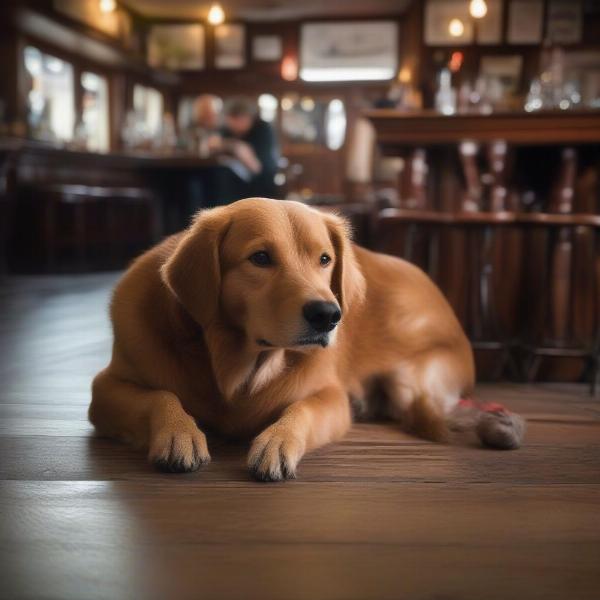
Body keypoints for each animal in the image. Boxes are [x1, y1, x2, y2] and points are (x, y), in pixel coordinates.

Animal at [89, 199, 524, 480]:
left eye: (325, 259)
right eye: (260, 258)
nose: (328, 316)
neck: (235, 366)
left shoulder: (330, 397)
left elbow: (303, 410)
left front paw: (277, 441)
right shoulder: (104, 389)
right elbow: (161, 396)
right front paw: (179, 431)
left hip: (412, 379)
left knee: (445, 407)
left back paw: (504, 423)